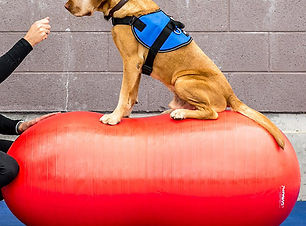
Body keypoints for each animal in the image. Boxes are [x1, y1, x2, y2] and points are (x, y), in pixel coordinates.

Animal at [64, 0, 284, 148]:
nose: (66, 6)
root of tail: (231, 94)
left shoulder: (131, 62)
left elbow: (123, 93)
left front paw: (114, 117)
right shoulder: (136, 67)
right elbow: (131, 94)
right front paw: (124, 114)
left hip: (183, 81)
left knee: (212, 112)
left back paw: (180, 113)